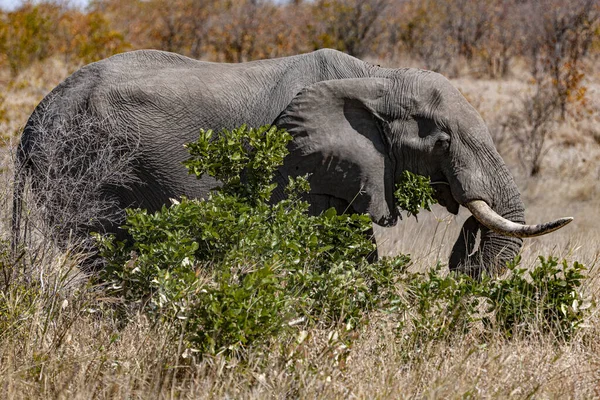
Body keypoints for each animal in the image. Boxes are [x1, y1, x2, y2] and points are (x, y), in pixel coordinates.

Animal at [10, 48, 572, 276]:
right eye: (442, 140)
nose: (468, 240)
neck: (378, 76)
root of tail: (32, 121)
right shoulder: (296, 165)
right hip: (80, 168)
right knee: (96, 254)